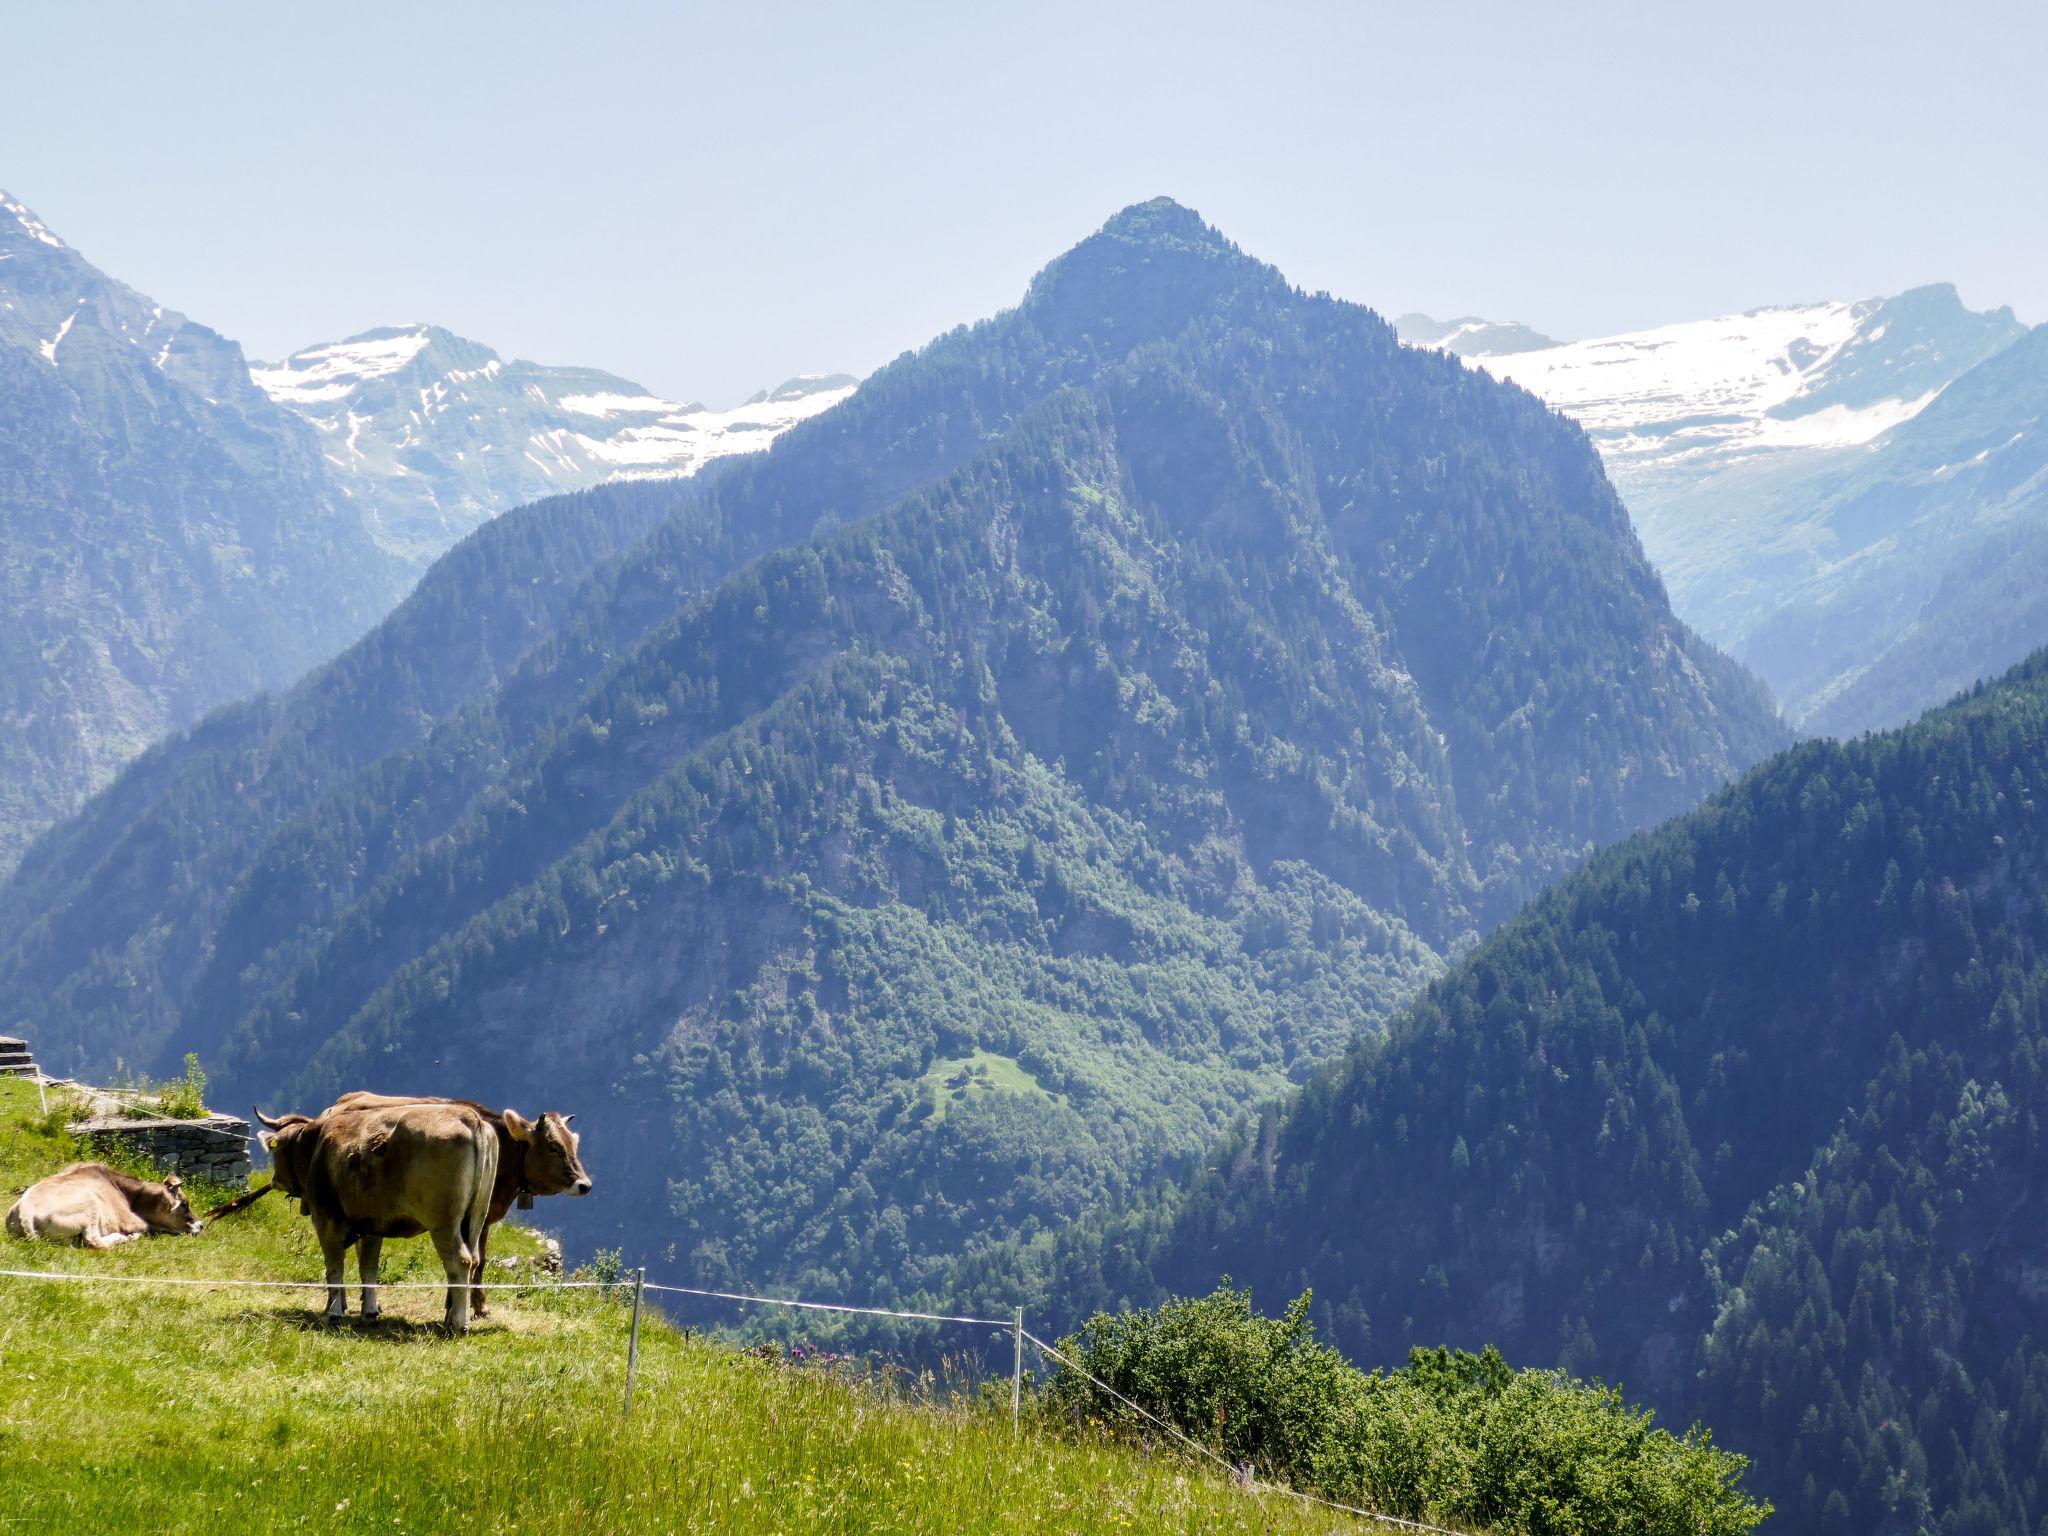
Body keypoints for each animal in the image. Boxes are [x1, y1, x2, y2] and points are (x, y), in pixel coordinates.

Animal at [4, 1163, 201, 1253]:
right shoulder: (134, 1222)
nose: (201, 1225)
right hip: (90, 1205)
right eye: (185, 1204)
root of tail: (25, 1209)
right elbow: (144, 1229)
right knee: (94, 1241)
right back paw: (123, 1238)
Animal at [258, 1105, 497, 1335]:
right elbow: (369, 1268)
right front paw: (370, 1313)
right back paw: (450, 1318)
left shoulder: (326, 1218)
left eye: (274, 1153)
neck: (315, 1146)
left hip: (443, 1222)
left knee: (459, 1261)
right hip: (476, 1219)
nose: (273, 1179)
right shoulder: (372, 1224)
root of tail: (466, 1116)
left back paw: (458, 1323)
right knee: (474, 1260)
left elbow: (334, 1266)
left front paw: (334, 1313)